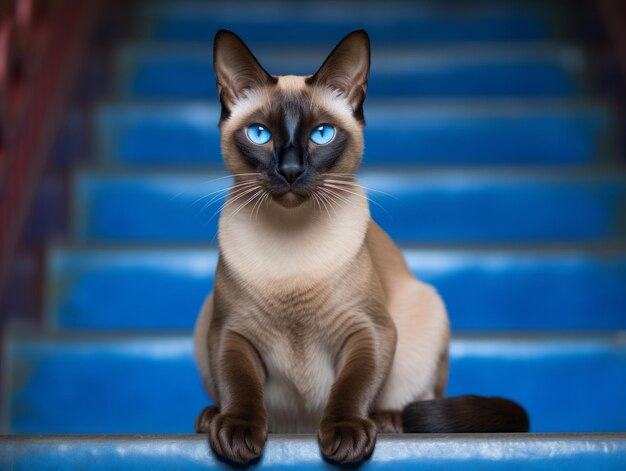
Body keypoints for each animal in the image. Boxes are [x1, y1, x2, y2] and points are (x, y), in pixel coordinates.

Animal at [194, 30, 528, 468]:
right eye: (260, 135)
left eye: (322, 134)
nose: (290, 171)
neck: (291, 252)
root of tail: (297, 429)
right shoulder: (231, 333)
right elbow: (239, 384)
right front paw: (237, 431)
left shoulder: (367, 331)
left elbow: (353, 386)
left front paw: (347, 435)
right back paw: (209, 418)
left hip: (427, 308)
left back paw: (390, 420)